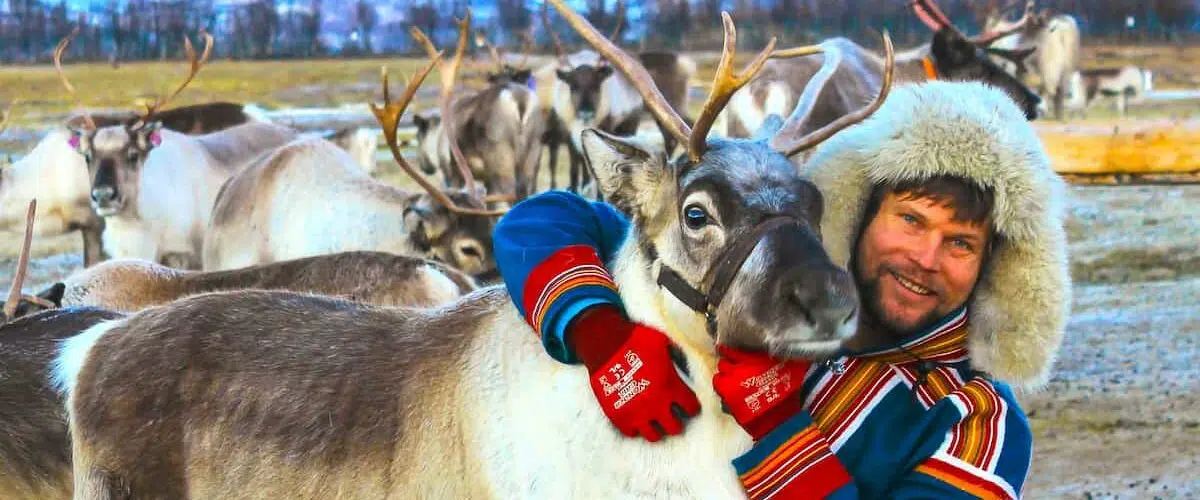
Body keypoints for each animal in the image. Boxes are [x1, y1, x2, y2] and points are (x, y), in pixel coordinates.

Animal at [412, 11, 544, 203]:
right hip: (533, 153)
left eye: (418, 136)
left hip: (500, 157)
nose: (423, 166)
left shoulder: (453, 171)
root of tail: (519, 100)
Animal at [542, 1, 697, 194]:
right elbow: (576, 170)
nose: (586, 112)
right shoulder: (569, 134)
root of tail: (685, 64)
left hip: (662, 111)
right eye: (573, 85)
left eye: (596, 84)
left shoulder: (608, 127)